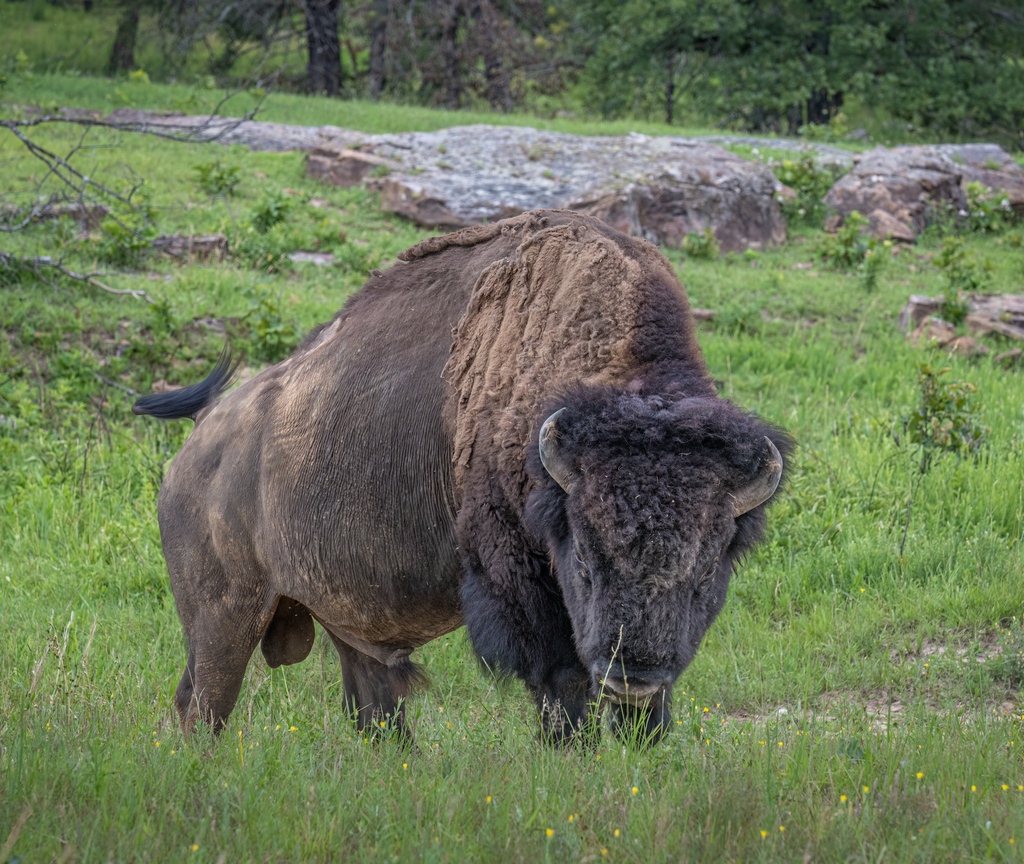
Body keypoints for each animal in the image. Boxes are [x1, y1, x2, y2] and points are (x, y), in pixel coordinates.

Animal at [133, 209, 789, 745]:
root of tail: (202, 434)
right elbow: (564, 687)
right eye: (583, 561)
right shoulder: (525, 588)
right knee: (204, 704)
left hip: (338, 617)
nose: (635, 674)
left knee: (372, 707)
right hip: (222, 616)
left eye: (705, 573)